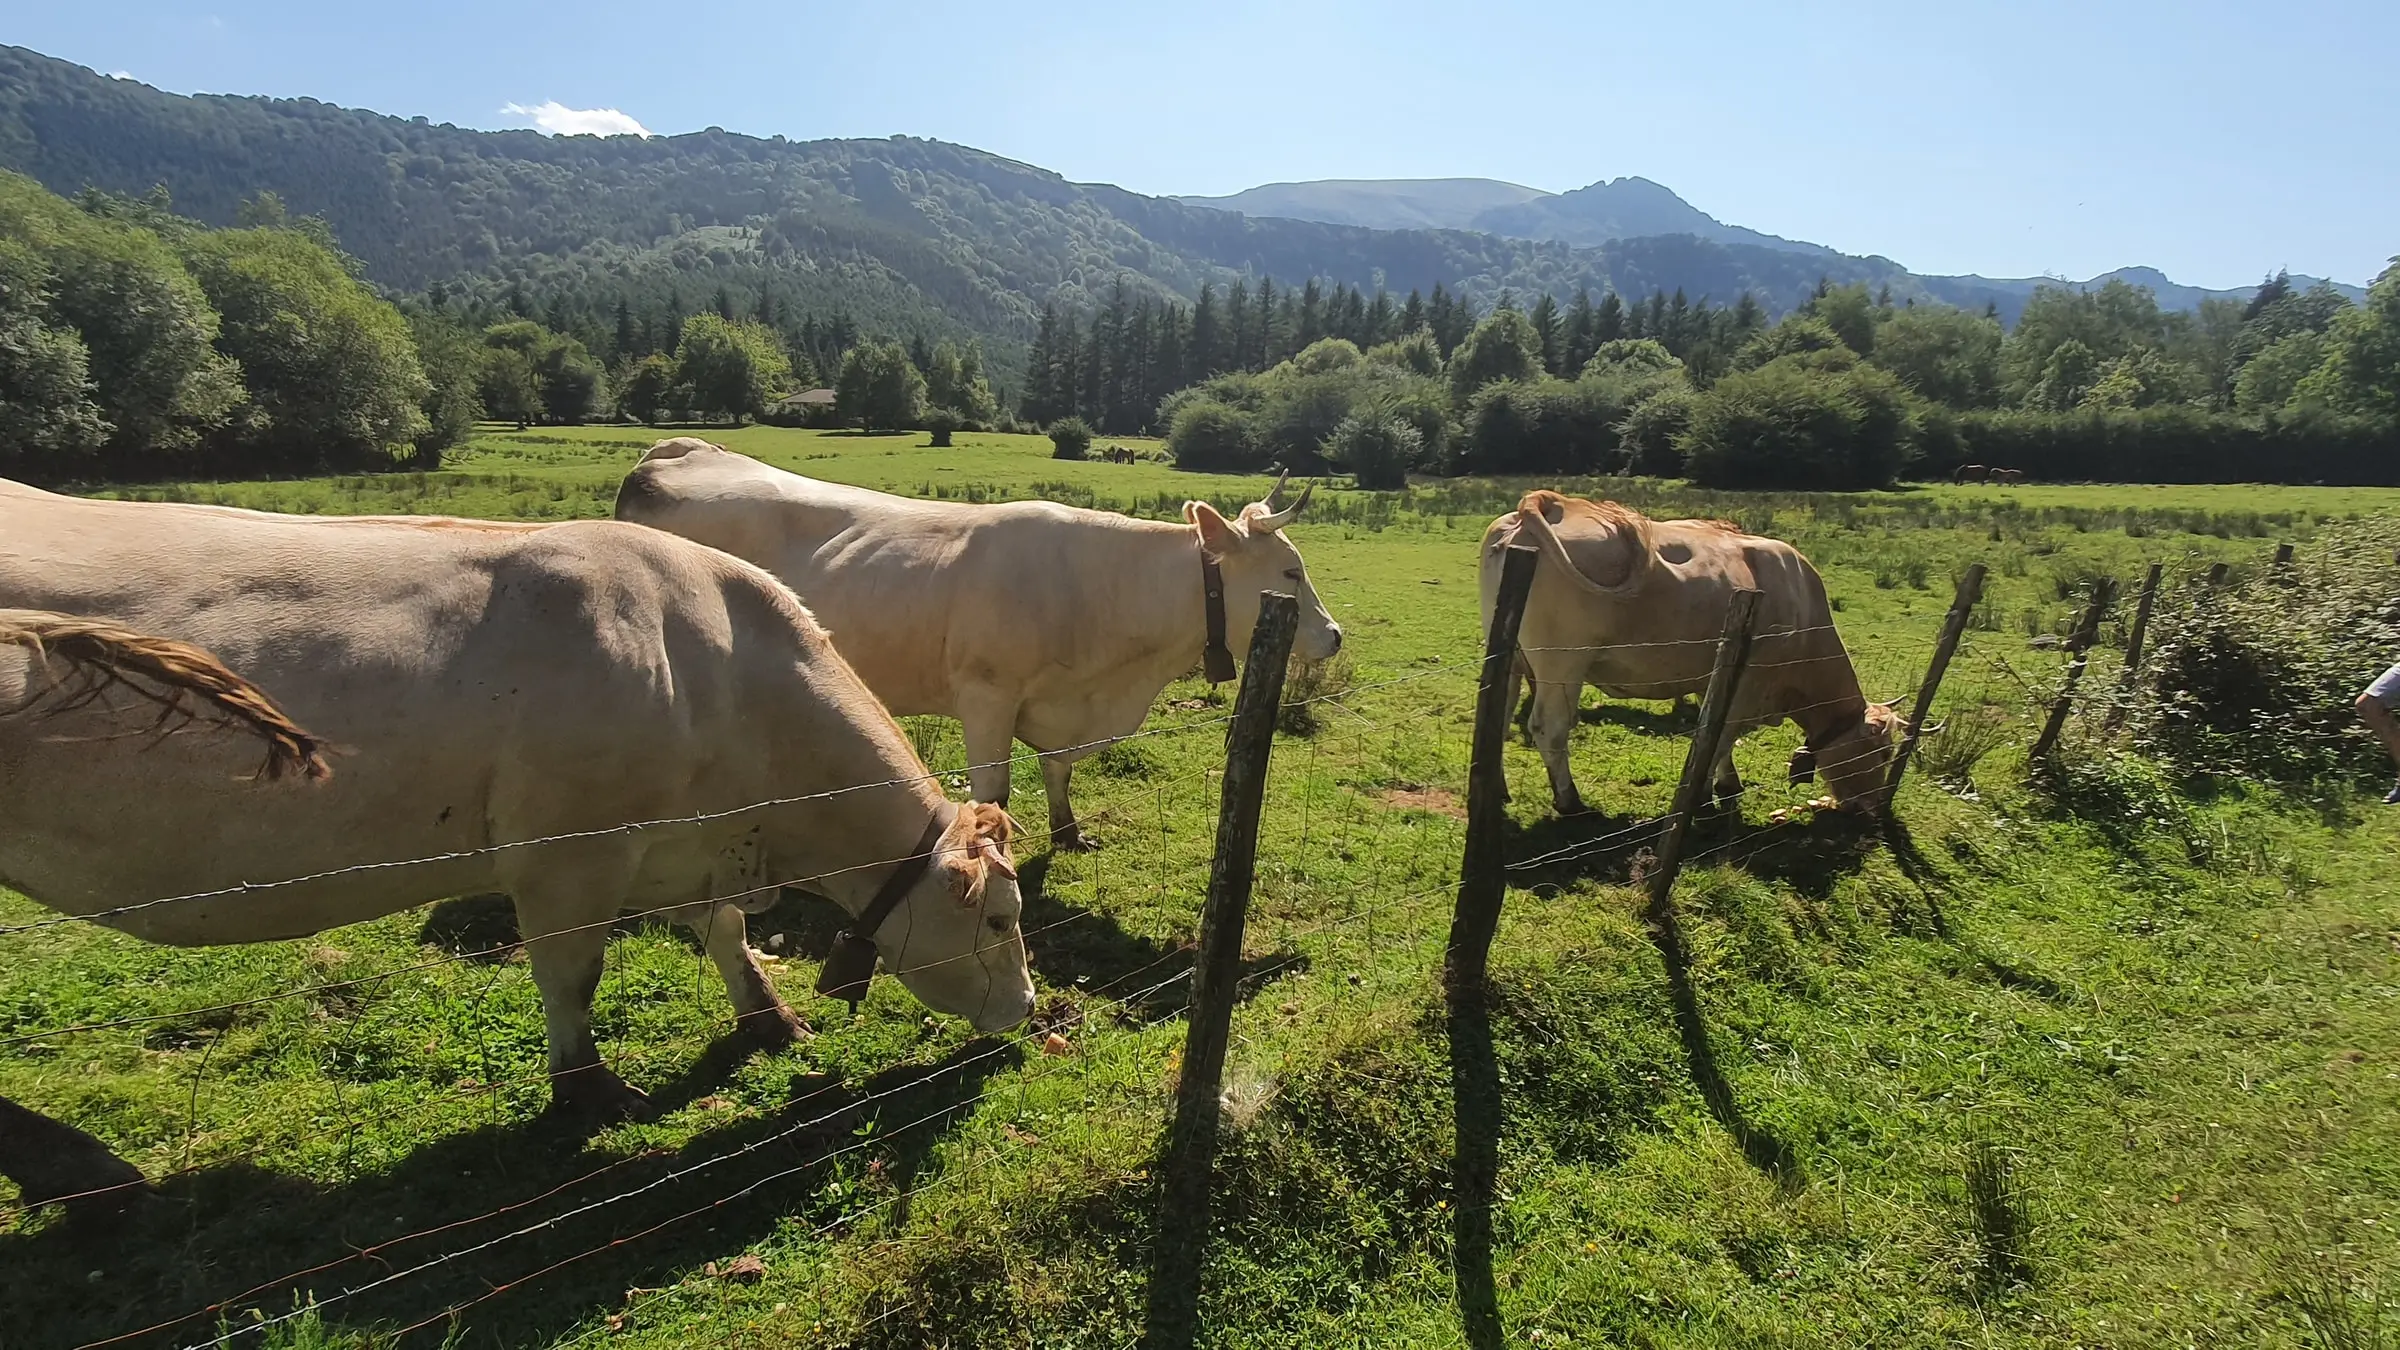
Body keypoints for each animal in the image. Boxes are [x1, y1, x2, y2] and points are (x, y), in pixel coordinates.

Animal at [0, 477, 1037, 1125]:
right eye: (998, 919)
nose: (1029, 1010)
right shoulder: (566, 857)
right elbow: (572, 975)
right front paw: (587, 1089)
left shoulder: (687, 845)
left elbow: (726, 931)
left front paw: (769, 1016)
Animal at [612, 440, 1343, 850]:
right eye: (1289, 571)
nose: (1334, 635)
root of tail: (669, 453)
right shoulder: (987, 695)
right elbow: (995, 789)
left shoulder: (1060, 705)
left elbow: (1058, 771)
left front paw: (1069, 833)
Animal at [1480, 491, 1902, 817]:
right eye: (1882, 753)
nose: (1873, 807)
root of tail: (1553, 503)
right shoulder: (1744, 690)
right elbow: (1720, 740)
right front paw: (1703, 797)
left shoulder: (1710, 681)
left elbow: (1713, 740)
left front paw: (1725, 783)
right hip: (1562, 664)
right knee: (1549, 728)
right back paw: (1570, 802)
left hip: (1509, 656)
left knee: (1498, 719)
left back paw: (1497, 789)